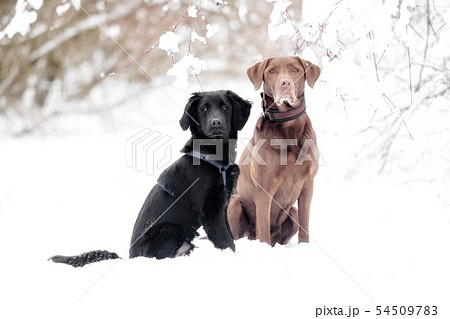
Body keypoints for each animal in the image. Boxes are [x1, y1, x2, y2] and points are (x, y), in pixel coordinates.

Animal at [51, 91, 253, 266]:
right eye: (204, 109)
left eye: (225, 107)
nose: (216, 123)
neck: (213, 156)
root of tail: (131, 258)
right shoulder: (209, 210)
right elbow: (226, 241)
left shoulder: (222, 205)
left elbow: (229, 234)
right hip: (169, 230)